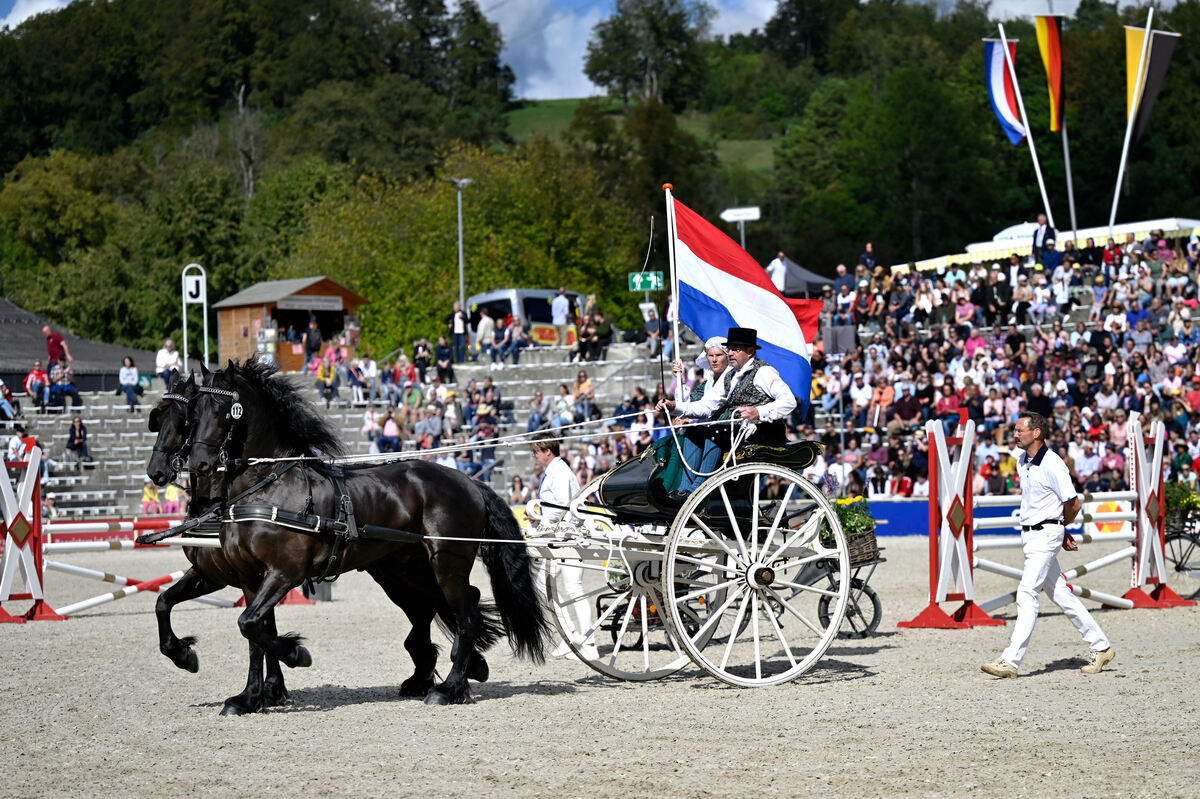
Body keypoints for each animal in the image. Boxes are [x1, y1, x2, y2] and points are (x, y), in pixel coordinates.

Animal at [186, 357, 549, 705]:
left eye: (224, 409)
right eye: (194, 409)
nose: (198, 464)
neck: (270, 487)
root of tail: (469, 481)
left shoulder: (285, 572)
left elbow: (249, 624)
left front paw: (296, 653)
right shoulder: (250, 578)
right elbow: (253, 635)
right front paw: (248, 697)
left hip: (446, 562)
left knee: (466, 616)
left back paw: (449, 689)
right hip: (408, 569)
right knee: (448, 606)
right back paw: (458, 670)